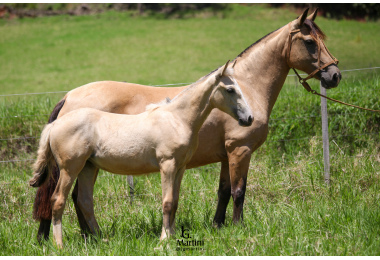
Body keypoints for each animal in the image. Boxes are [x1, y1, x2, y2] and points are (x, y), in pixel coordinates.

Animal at [29, 61, 254, 248]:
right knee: (58, 200)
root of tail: (55, 124)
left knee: (84, 200)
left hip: (88, 167)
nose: (249, 118)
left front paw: (172, 236)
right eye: (230, 89)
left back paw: (100, 239)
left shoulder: (180, 168)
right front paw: (164, 240)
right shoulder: (167, 165)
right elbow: (167, 202)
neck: (177, 118)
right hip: (70, 168)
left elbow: (175, 201)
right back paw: (60, 245)